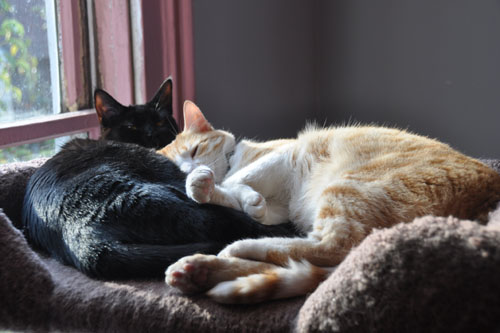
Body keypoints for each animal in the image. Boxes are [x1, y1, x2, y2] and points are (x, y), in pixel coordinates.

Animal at [158, 101, 500, 304]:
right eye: (176, 167)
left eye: (195, 149)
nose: (189, 168)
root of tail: (490, 190)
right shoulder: (278, 210)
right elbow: (237, 197)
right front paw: (209, 188)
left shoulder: (284, 154)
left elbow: (237, 181)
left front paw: (218, 185)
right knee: (308, 256)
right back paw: (197, 270)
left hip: (348, 187)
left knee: (332, 246)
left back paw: (233, 249)